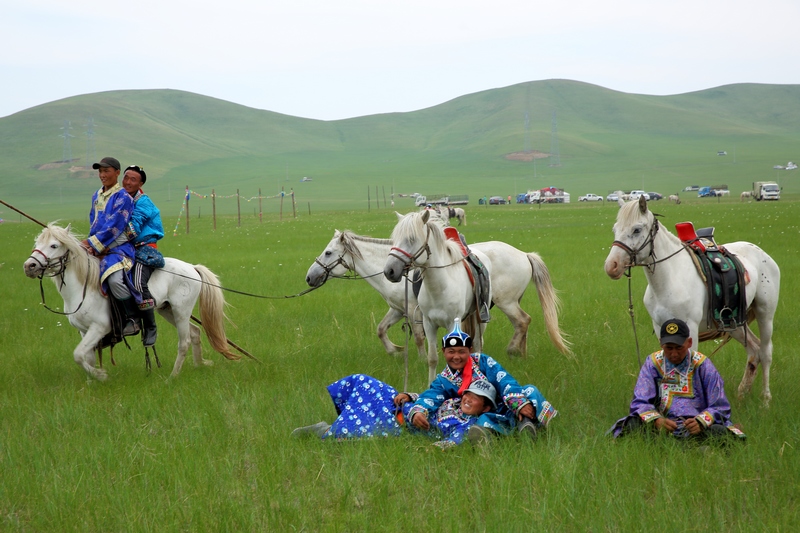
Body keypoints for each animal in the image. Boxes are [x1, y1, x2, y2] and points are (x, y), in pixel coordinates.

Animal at [23, 222, 239, 380]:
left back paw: (172, 376)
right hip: (166, 309)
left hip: (181, 311)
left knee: (184, 341)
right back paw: (199, 365)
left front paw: (101, 376)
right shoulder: (84, 330)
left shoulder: (100, 327)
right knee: (195, 332)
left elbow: (78, 354)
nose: (29, 266)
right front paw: (93, 381)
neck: (83, 287)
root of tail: (192, 268)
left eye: (54, 245)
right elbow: (86, 356)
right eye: (37, 243)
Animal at [384, 210, 572, 380]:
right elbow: (432, 359)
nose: (389, 271)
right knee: (509, 329)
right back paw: (520, 354)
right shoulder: (429, 324)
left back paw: (511, 351)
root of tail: (524, 255)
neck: (440, 286)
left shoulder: (453, 324)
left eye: (411, 239)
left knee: (519, 322)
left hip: (503, 304)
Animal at [604, 195, 780, 404]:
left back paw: (766, 399)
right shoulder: (660, 327)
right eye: (615, 229)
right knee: (754, 350)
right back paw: (741, 394)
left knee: (765, 351)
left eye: (636, 229)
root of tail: (763, 254)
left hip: (764, 314)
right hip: (734, 321)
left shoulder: (691, 328)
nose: (611, 266)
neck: (669, 278)